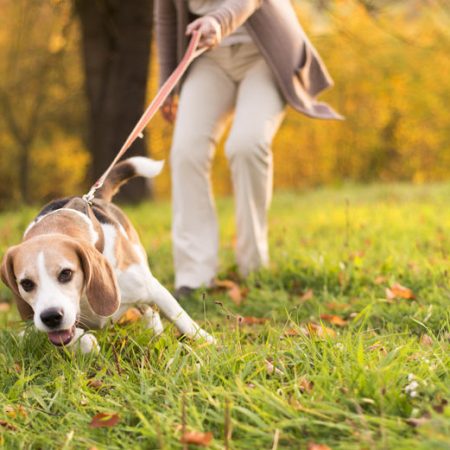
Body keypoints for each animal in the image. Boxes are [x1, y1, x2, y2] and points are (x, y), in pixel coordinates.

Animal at [0, 157, 214, 352]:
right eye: (26, 284)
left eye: (66, 273)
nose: (51, 317)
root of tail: (96, 197)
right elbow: (74, 338)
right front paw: (85, 343)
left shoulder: (152, 287)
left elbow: (180, 317)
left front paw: (207, 341)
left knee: (150, 310)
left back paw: (155, 331)